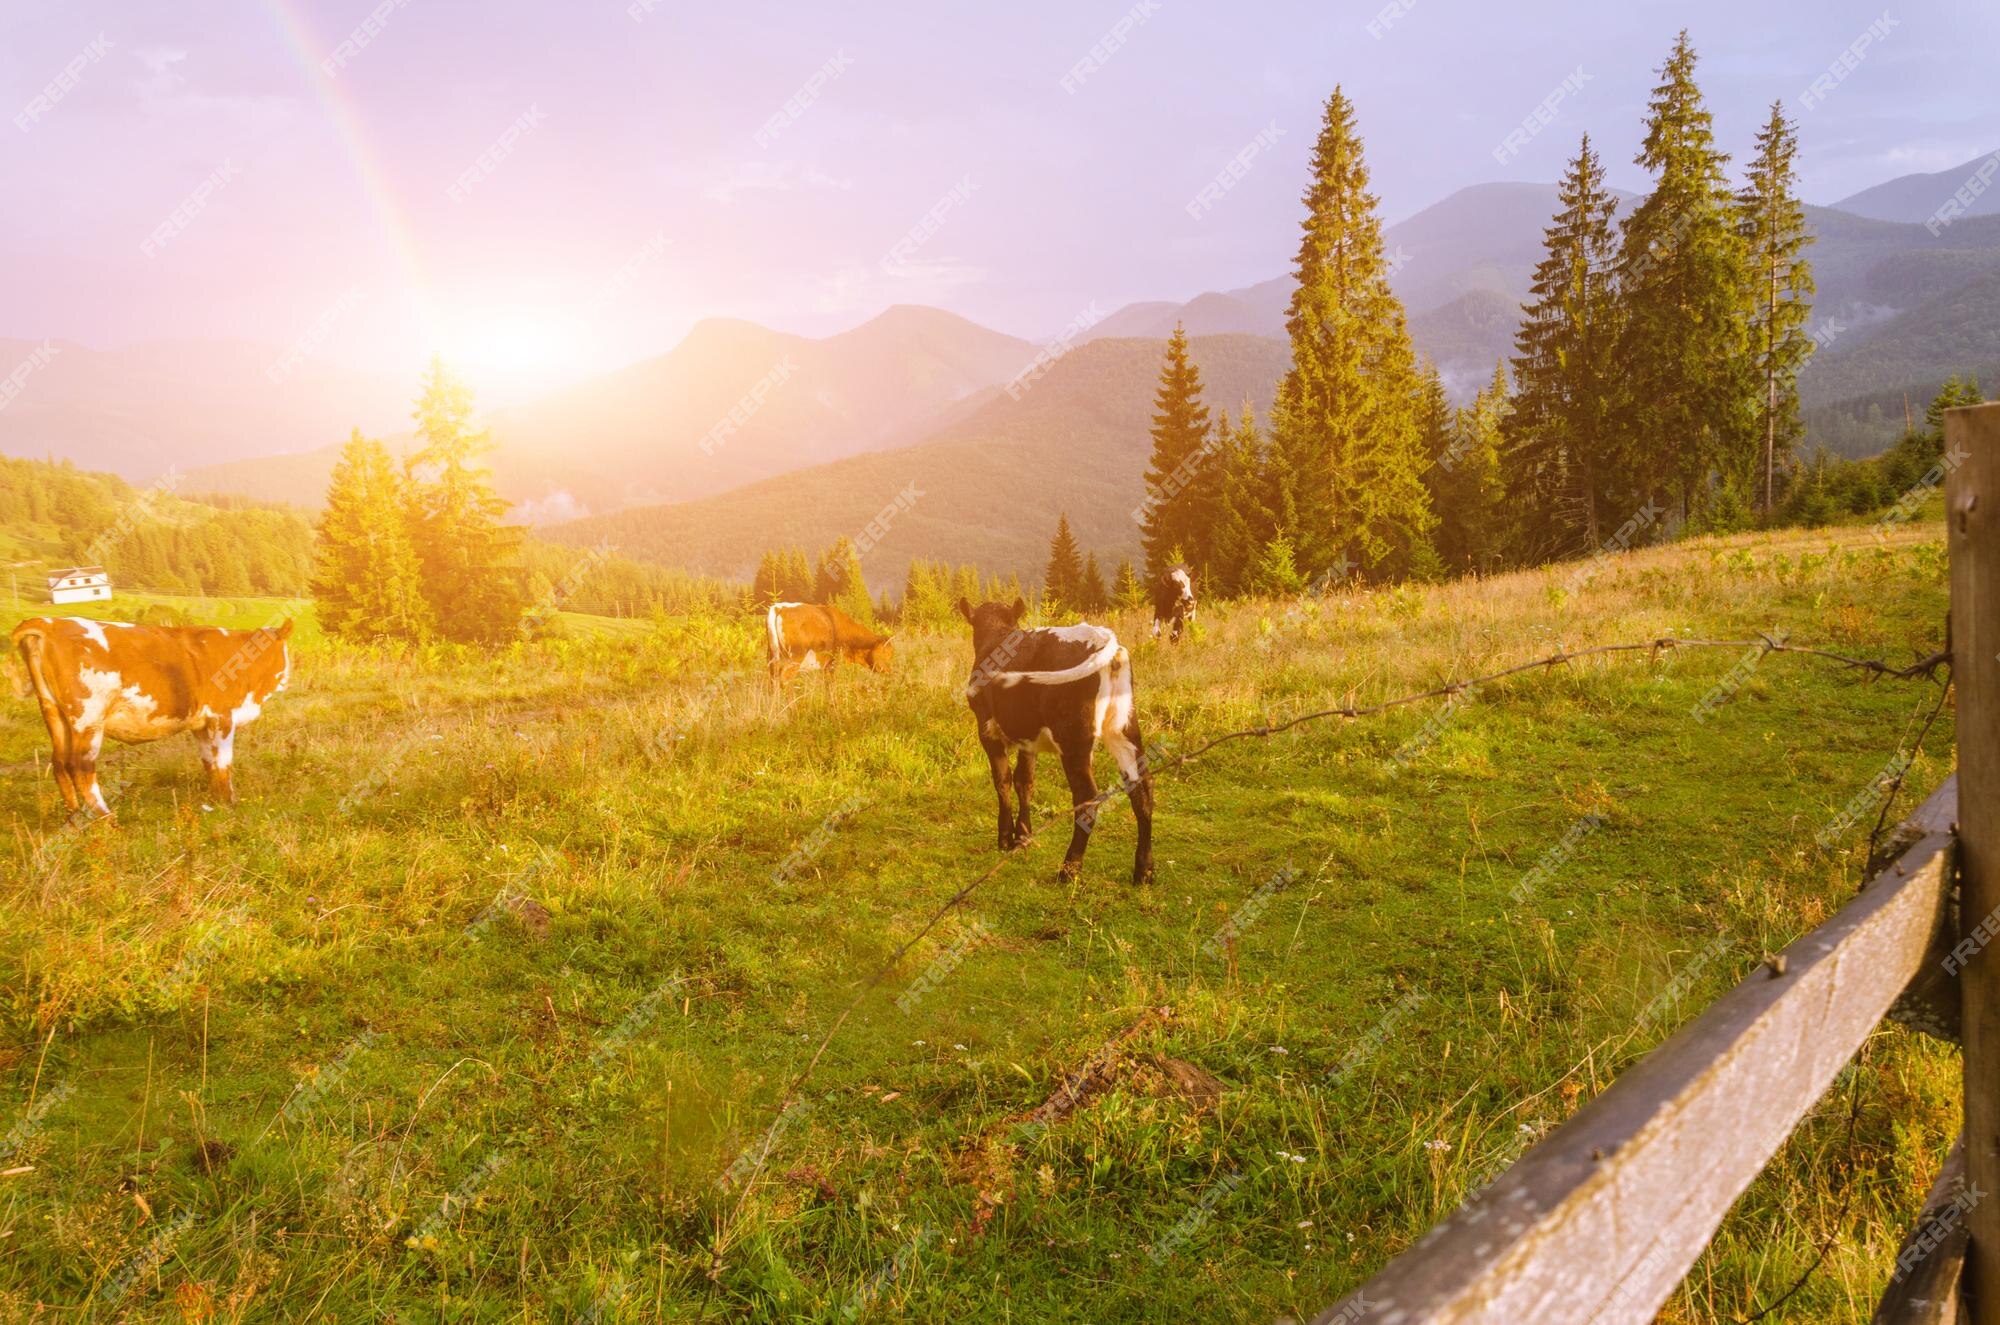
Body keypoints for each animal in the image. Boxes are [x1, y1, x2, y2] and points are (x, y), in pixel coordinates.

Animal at [9, 616, 292, 820]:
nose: (287, 678)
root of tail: (50, 623)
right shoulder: (222, 717)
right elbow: (223, 763)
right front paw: (229, 802)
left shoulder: (201, 724)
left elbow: (209, 762)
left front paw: (215, 799)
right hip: (88, 719)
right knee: (80, 766)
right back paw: (105, 818)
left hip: (54, 714)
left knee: (58, 764)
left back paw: (74, 817)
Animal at [764, 600, 892, 684]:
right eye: (885, 653)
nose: (890, 671)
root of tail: (780, 607)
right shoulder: (833, 664)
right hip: (794, 658)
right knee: (785, 679)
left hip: (773, 658)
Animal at [956, 596, 1160, 888]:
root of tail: (1102, 639)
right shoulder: (1028, 736)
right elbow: (1025, 781)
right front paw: (1023, 836)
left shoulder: (986, 728)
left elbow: (1003, 779)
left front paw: (1005, 837)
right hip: (1125, 727)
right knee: (1142, 788)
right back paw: (1144, 870)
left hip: (1073, 739)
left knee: (1087, 797)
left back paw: (1069, 869)